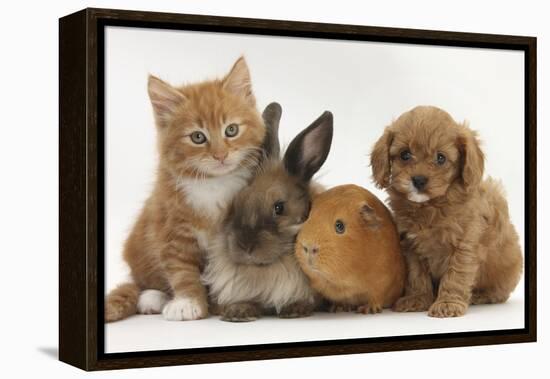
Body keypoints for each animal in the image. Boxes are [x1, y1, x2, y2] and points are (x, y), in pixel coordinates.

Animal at [106, 58, 268, 322]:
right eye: (198, 137)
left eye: (231, 130)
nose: (220, 155)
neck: (213, 183)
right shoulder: (171, 227)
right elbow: (182, 271)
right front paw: (188, 302)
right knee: (142, 283)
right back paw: (153, 298)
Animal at [374, 105, 524, 320]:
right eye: (405, 155)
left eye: (440, 158)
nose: (418, 180)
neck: (430, 207)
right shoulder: (411, 247)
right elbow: (416, 275)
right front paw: (417, 299)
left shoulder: (464, 246)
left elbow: (456, 275)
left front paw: (447, 304)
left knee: (498, 293)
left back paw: (479, 296)